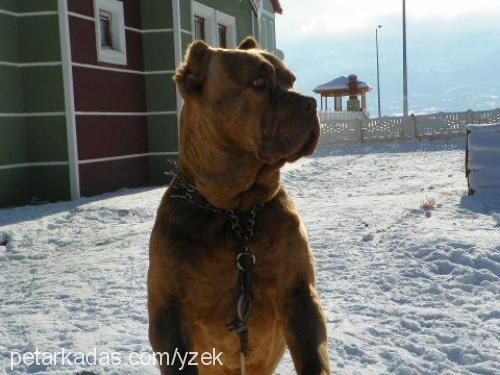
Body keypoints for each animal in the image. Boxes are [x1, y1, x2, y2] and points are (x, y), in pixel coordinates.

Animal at [146, 36, 330, 374]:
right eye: (259, 81)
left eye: (291, 80)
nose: (310, 103)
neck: (236, 213)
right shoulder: (168, 311)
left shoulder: (299, 294)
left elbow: (313, 355)